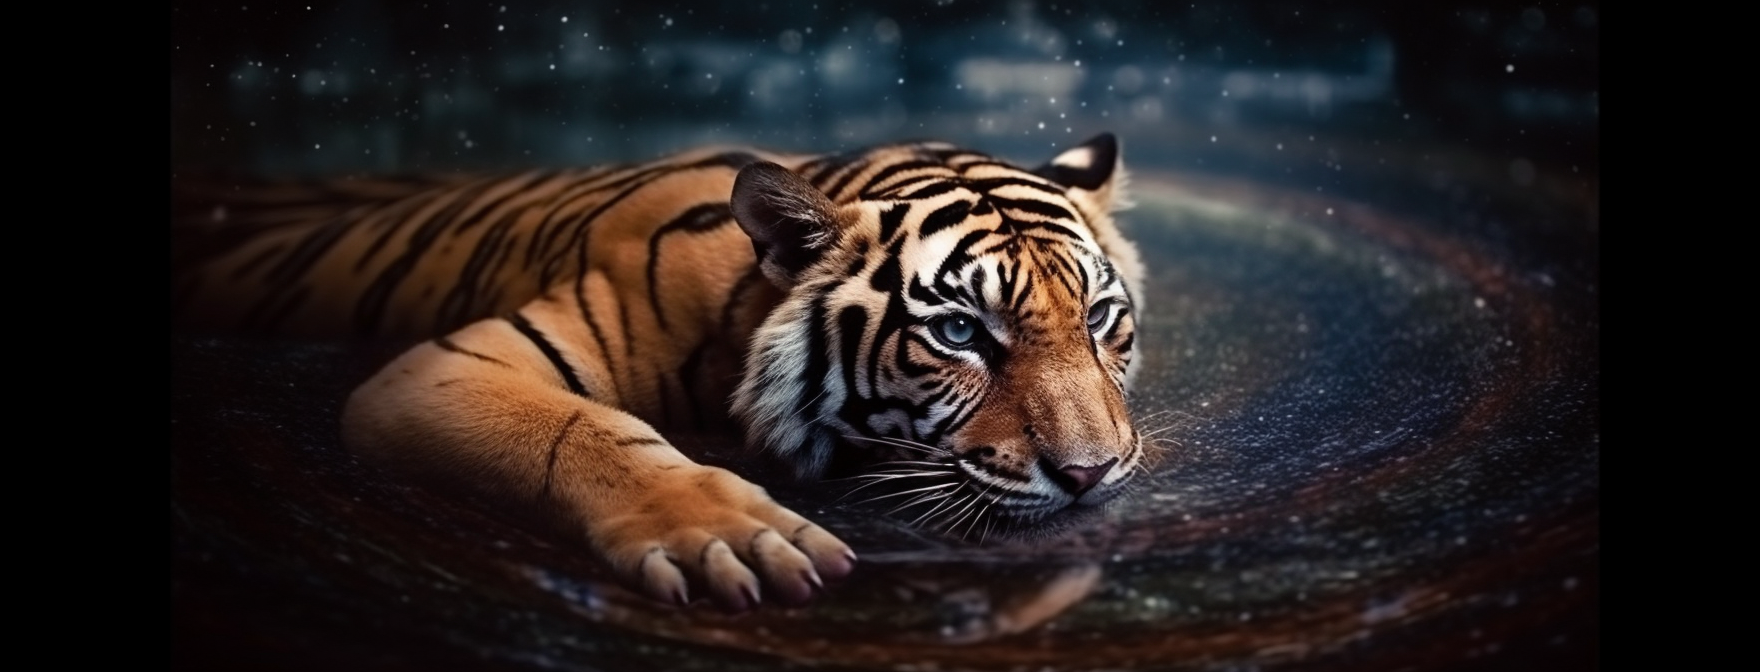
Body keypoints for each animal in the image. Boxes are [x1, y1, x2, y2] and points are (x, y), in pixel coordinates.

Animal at [171, 132, 1148, 613]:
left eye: (1099, 319)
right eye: (958, 332)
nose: (1091, 473)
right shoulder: (439, 368)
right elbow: (577, 429)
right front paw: (727, 537)